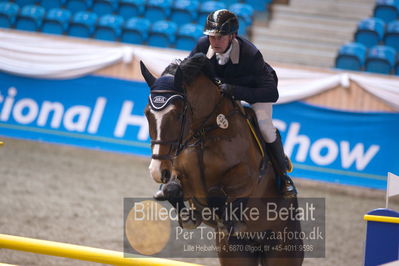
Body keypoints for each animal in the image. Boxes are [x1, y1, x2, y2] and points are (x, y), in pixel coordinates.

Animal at [143, 53, 304, 264]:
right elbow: (172, 189)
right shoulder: (179, 173)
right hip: (235, 253)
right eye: (147, 113)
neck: (206, 131)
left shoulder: (248, 177)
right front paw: (188, 217)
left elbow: (222, 192)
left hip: (283, 248)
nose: (157, 170)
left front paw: (226, 218)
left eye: (177, 114)